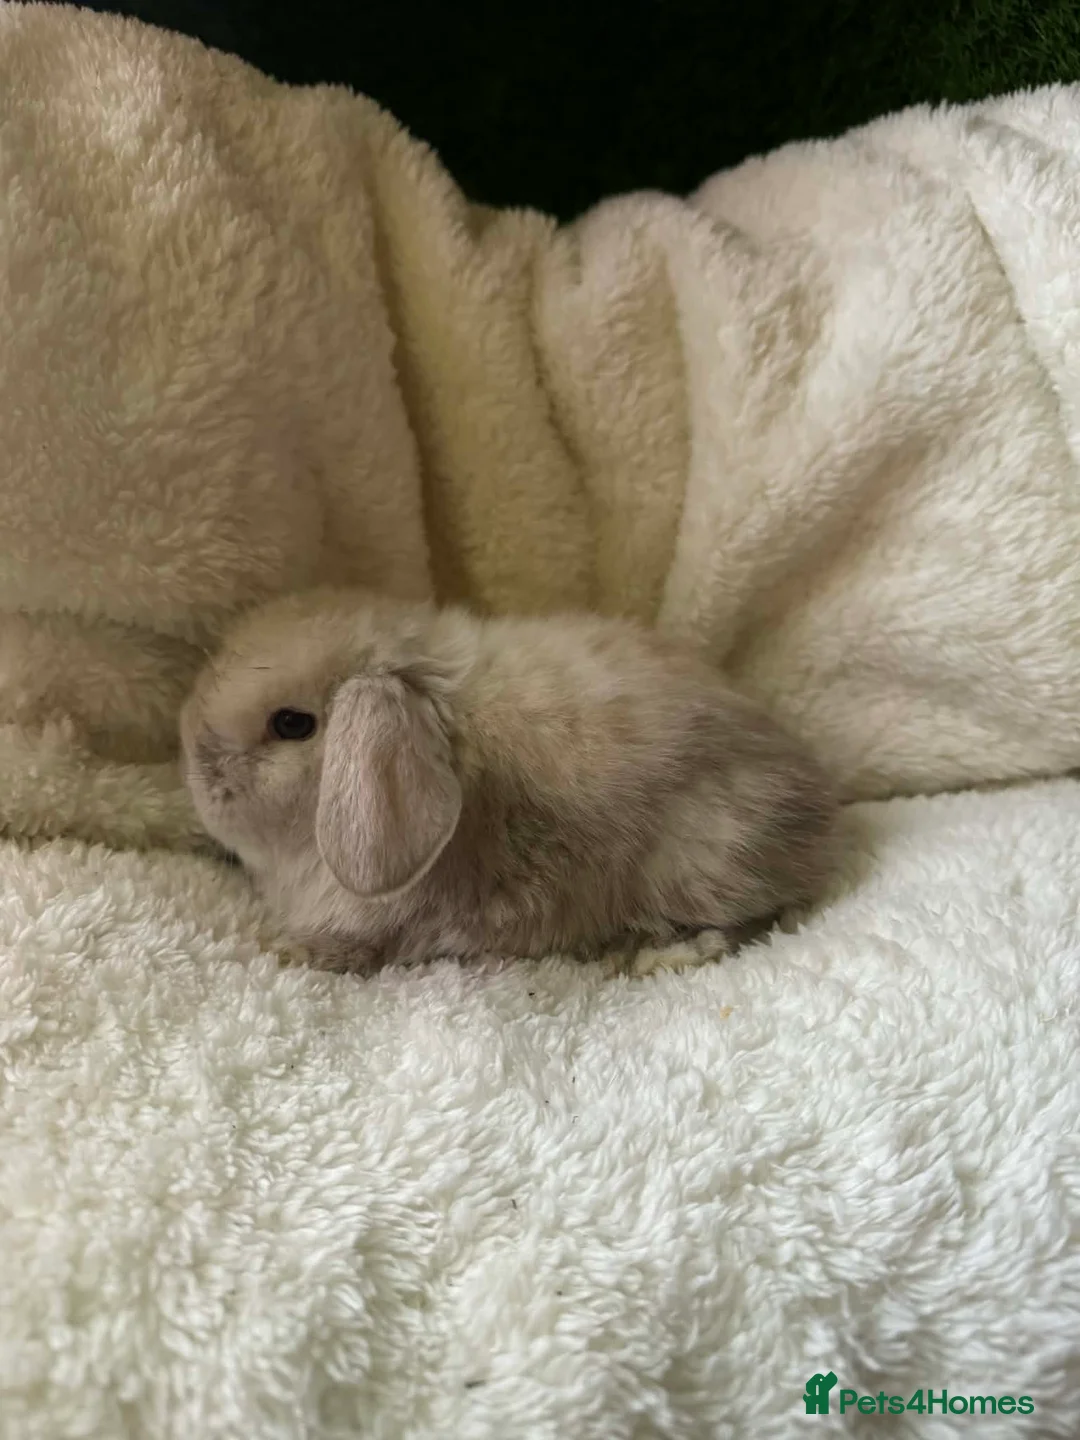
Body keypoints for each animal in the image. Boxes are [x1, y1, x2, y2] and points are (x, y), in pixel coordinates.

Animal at [180, 587, 839, 971]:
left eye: (292, 724)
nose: (193, 766)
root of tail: (819, 812)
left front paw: (283, 949)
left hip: (703, 861)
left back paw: (664, 955)